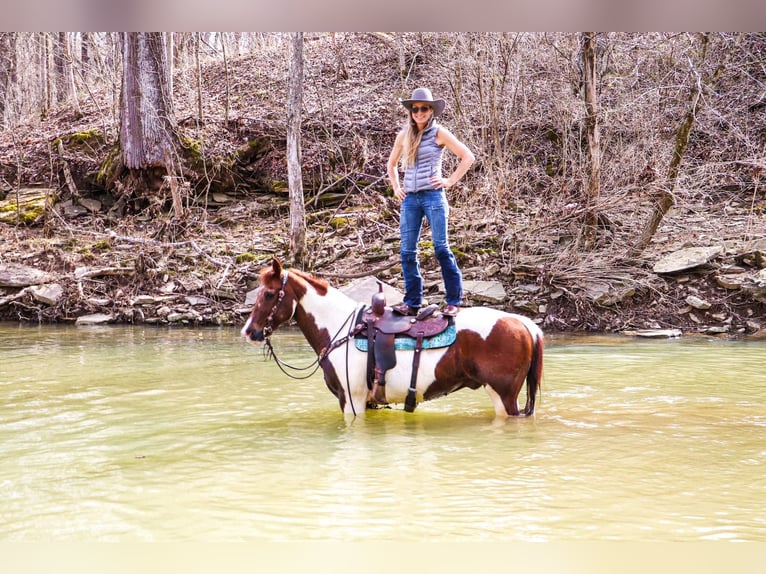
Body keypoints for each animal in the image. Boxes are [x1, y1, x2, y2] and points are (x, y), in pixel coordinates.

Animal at [242, 260, 544, 418]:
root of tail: (525, 324)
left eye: (269, 294)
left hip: (503, 396)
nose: (249, 331)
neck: (340, 327)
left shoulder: (352, 402)